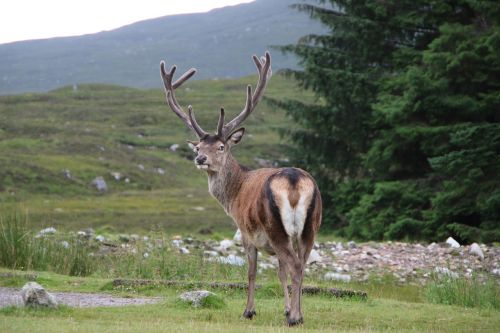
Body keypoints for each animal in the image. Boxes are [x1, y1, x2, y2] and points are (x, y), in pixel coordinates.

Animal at [161, 51, 324, 324]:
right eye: (198, 147)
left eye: (221, 147)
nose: (200, 159)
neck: (234, 194)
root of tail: (293, 180)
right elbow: (280, 273)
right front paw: (286, 308)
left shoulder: (246, 232)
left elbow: (252, 271)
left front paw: (249, 310)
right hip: (310, 226)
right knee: (300, 265)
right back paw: (298, 315)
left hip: (275, 226)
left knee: (295, 265)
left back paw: (293, 319)